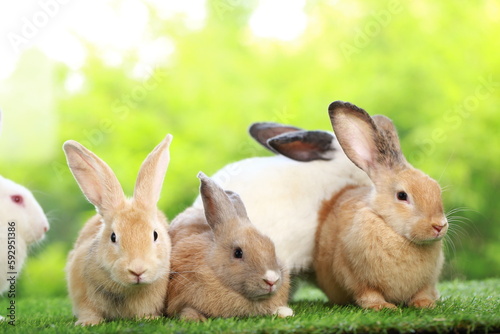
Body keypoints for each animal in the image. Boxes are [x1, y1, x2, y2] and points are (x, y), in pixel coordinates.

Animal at [63, 134, 173, 324]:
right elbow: (88, 310)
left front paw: (150, 319)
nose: (137, 270)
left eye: (155, 235)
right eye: (113, 237)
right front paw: (87, 323)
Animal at [312, 100, 450, 310]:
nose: (439, 226)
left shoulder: (428, 281)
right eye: (402, 196)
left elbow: (422, 292)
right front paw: (382, 307)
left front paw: (426, 304)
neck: (395, 232)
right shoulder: (355, 277)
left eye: (436, 188)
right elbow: (368, 293)